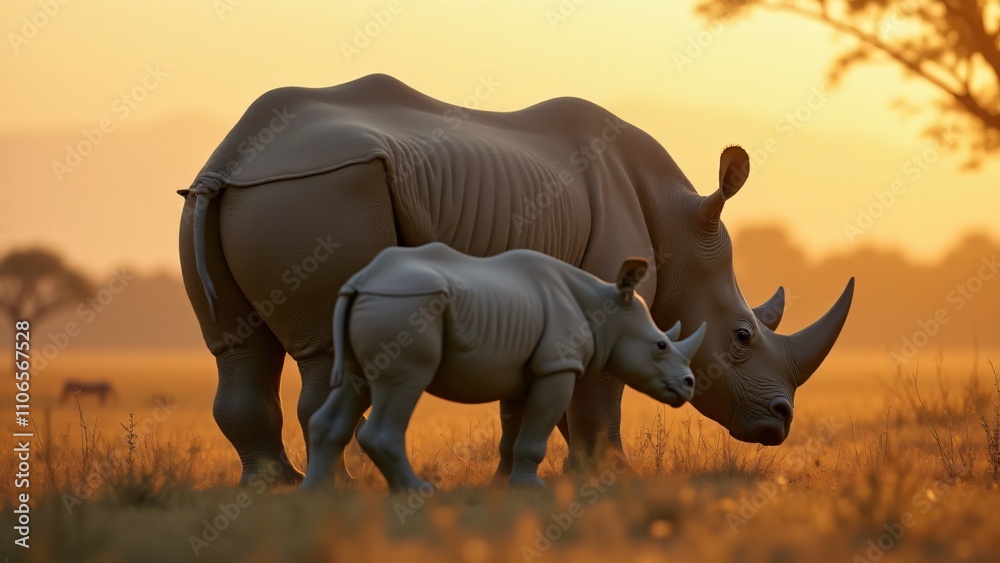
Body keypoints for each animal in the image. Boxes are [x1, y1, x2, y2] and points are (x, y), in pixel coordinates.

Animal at [300, 243, 706, 490]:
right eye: (660, 346)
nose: (688, 384)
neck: (603, 306)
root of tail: (361, 281)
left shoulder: (526, 370)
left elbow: (512, 434)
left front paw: (504, 486)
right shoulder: (557, 366)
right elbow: (536, 432)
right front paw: (533, 487)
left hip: (380, 305)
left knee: (355, 384)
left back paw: (319, 493)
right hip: (403, 305)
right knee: (401, 383)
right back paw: (417, 491)